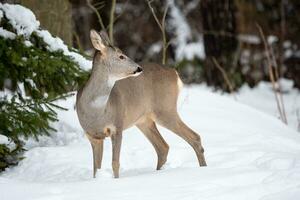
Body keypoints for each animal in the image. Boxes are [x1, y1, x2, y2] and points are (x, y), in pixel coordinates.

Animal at [76, 29, 206, 178]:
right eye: (121, 56)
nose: (139, 68)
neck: (96, 111)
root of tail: (175, 73)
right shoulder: (92, 136)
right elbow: (96, 168)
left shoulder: (117, 126)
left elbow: (115, 163)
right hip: (144, 120)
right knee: (163, 147)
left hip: (165, 109)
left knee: (194, 137)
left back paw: (203, 168)